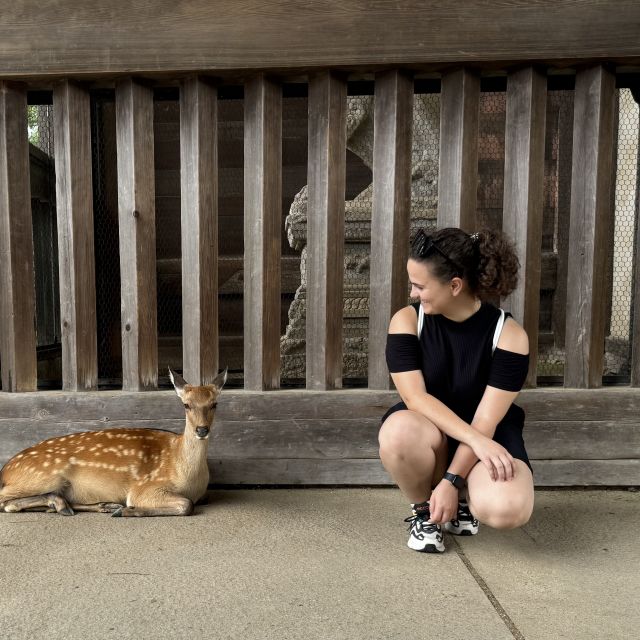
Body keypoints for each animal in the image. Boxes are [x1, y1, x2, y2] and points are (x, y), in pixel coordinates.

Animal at [0, 368, 226, 516]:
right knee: (5, 501)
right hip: (44, 476)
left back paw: (97, 506)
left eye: (214, 404)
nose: (202, 429)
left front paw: (121, 509)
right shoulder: (145, 487)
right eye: (187, 404)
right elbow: (186, 505)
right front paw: (129, 510)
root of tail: (5, 471)